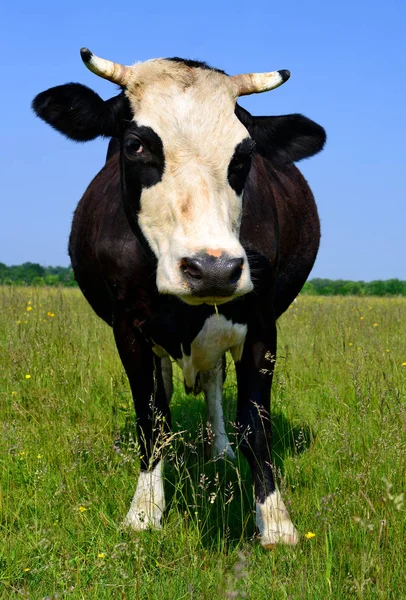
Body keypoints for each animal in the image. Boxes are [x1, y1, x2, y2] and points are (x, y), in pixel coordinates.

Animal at [31, 49, 326, 548]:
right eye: (135, 145)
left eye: (244, 154)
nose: (213, 269)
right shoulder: (128, 329)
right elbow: (152, 417)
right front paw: (145, 510)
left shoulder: (262, 325)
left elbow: (256, 425)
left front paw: (275, 520)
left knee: (213, 382)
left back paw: (220, 450)